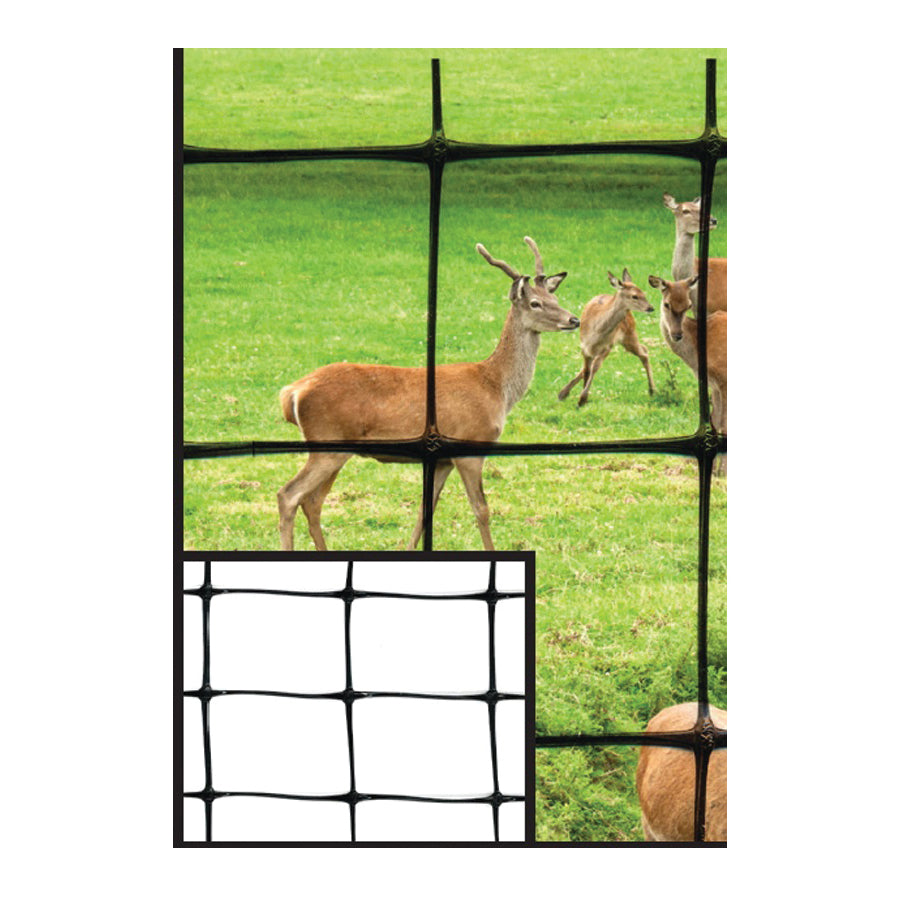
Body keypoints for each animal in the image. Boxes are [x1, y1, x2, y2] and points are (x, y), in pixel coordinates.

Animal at [277, 237, 580, 551]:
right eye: (535, 303)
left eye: (556, 300)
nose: (574, 319)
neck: (496, 386)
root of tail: (293, 391)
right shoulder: (470, 443)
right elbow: (481, 509)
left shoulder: (442, 459)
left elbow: (426, 510)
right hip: (328, 440)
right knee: (289, 494)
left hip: (334, 447)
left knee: (312, 501)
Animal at [557, 268, 655, 407]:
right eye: (635, 296)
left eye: (644, 293)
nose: (650, 307)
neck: (596, 332)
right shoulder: (584, 347)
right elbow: (587, 370)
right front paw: (581, 398)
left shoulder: (607, 346)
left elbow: (594, 368)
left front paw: (582, 399)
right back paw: (562, 393)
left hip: (629, 334)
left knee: (644, 352)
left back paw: (652, 390)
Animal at [649, 274, 727, 474]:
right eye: (667, 304)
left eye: (688, 305)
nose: (677, 334)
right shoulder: (715, 385)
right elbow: (715, 422)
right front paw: (714, 471)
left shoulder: (724, 379)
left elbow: (724, 424)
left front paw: (721, 472)